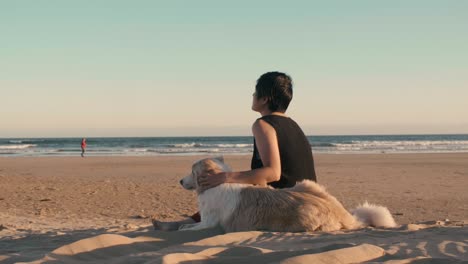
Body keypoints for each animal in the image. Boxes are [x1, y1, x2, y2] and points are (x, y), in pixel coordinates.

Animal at [179, 158, 394, 232]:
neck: (217, 182)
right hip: (305, 184)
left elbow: (188, 227)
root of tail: (342, 214)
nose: (180, 181)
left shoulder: (208, 223)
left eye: (191, 171)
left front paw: (183, 227)